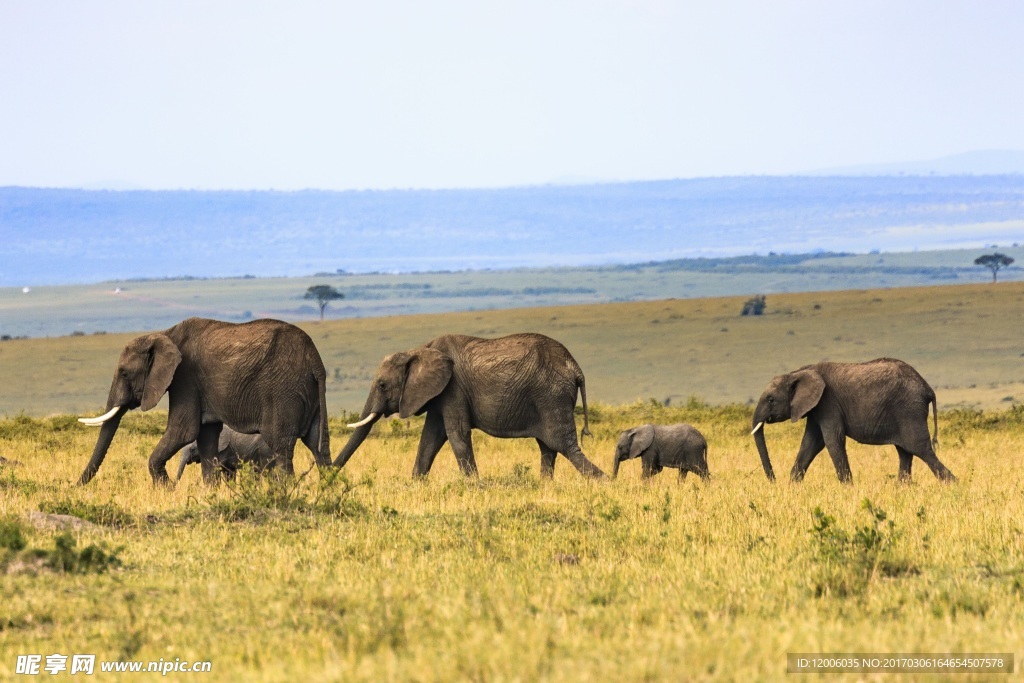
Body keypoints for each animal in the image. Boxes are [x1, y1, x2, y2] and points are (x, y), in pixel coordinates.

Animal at [77, 317, 329, 489]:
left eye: (124, 373)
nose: (76, 485)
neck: (164, 334)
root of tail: (315, 360)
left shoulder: (185, 378)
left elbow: (183, 431)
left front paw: (166, 490)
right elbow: (207, 436)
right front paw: (211, 492)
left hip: (283, 392)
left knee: (281, 446)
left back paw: (284, 493)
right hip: (310, 393)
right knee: (318, 445)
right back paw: (328, 490)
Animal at [335, 333, 606, 479]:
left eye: (381, 385)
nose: (329, 473)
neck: (419, 350)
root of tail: (576, 368)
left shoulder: (453, 388)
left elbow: (456, 434)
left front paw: (474, 485)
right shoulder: (439, 393)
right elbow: (430, 438)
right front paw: (414, 484)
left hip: (551, 396)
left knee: (564, 445)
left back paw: (604, 481)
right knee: (548, 448)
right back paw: (544, 485)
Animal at [749, 358, 954, 485]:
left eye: (771, 400)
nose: (773, 481)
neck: (798, 372)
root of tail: (928, 388)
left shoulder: (828, 403)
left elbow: (832, 440)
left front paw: (848, 488)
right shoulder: (816, 408)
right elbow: (810, 443)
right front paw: (792, 486)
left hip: (909, 410)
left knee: (920, 449)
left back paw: (953, 484)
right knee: (905, 452)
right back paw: (902, 488)